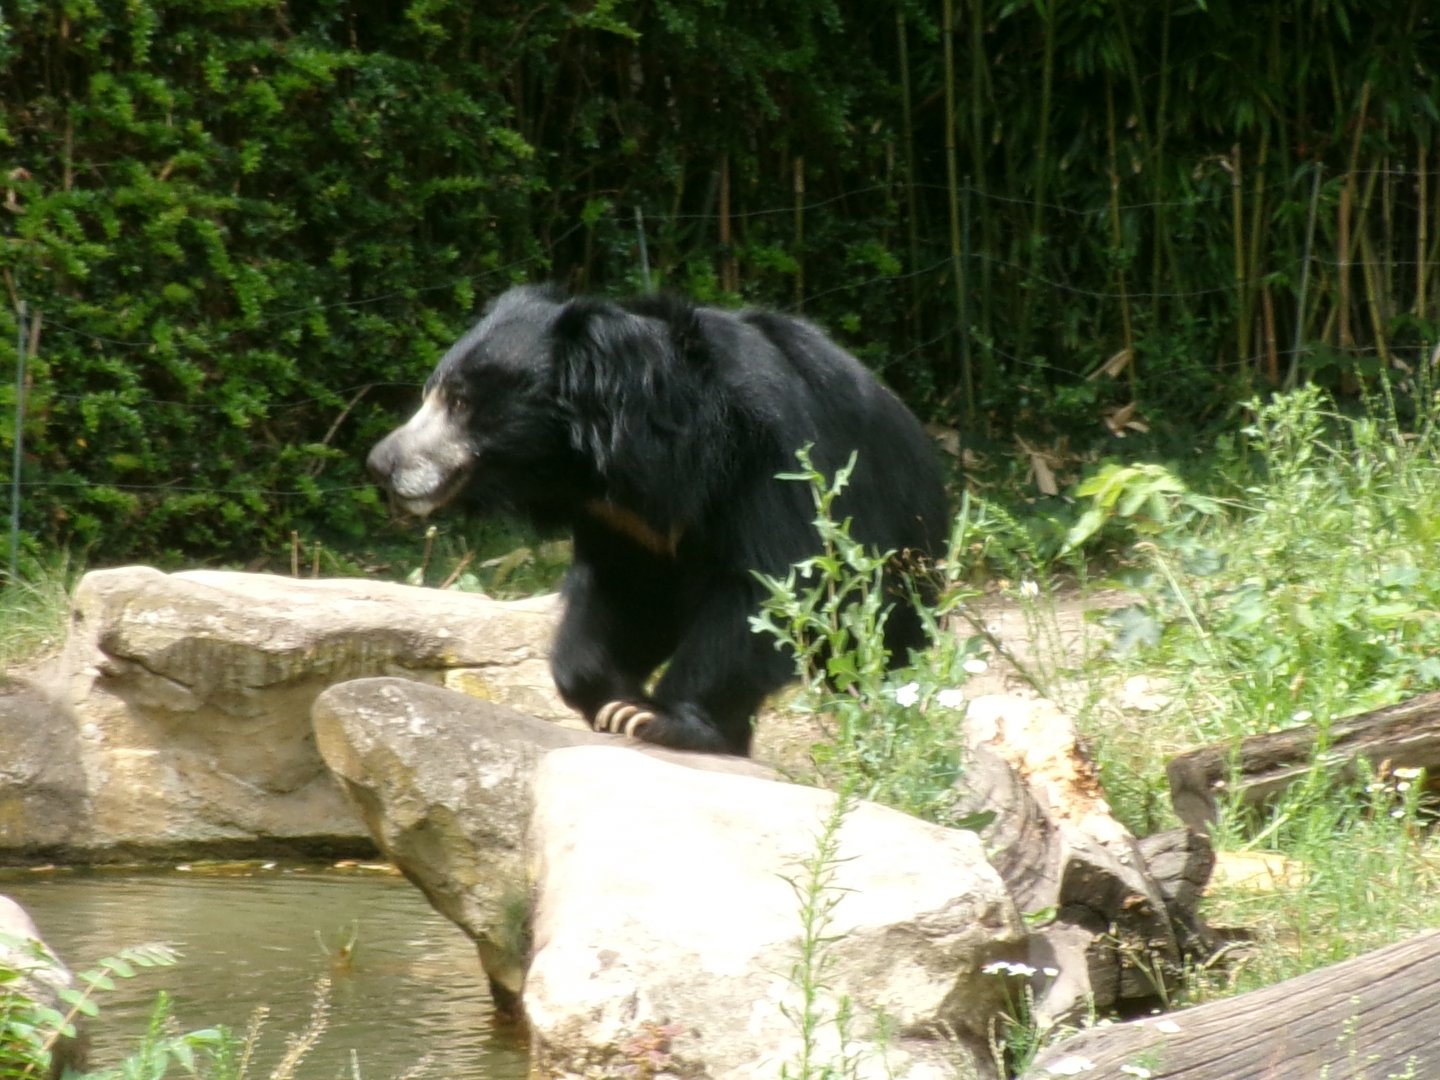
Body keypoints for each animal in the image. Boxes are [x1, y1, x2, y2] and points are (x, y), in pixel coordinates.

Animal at [367, 284, 949, 755]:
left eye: (460, 402)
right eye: (433, 393)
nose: (381, 463)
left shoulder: (775, 458)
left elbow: (772, 585)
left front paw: (654, 718)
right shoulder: (622, 521)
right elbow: (628, 595)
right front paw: (611, 699)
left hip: (899, 563)